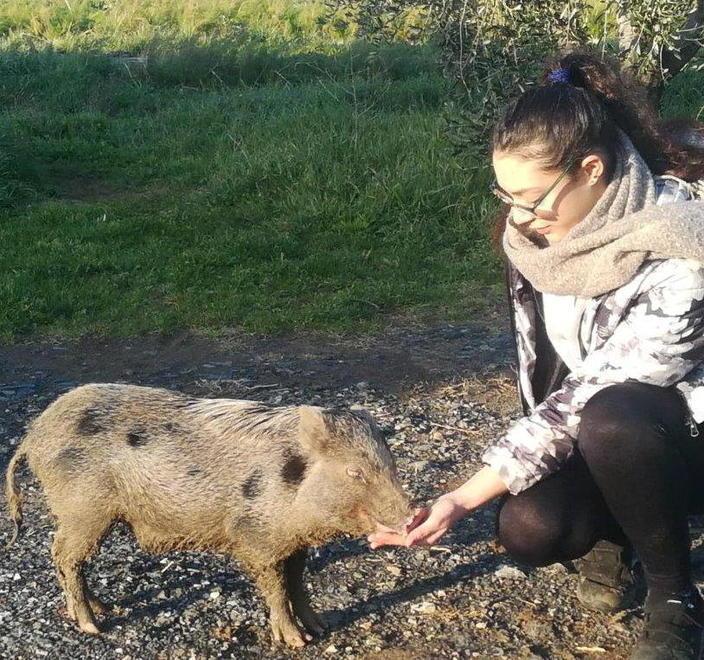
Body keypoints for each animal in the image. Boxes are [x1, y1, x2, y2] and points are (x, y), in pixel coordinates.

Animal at [4, 383, 411, 647]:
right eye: (355, 472)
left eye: (389, 460)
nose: (411, 515)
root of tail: (32, 437)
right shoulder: (256, 538)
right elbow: (277, 588)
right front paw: (297, 643)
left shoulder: (295, 544)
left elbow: (297, 582)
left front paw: (321, 628)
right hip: (83, 510)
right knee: (63, 554)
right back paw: (93, 626)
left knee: (69, 558)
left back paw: (102, 608)